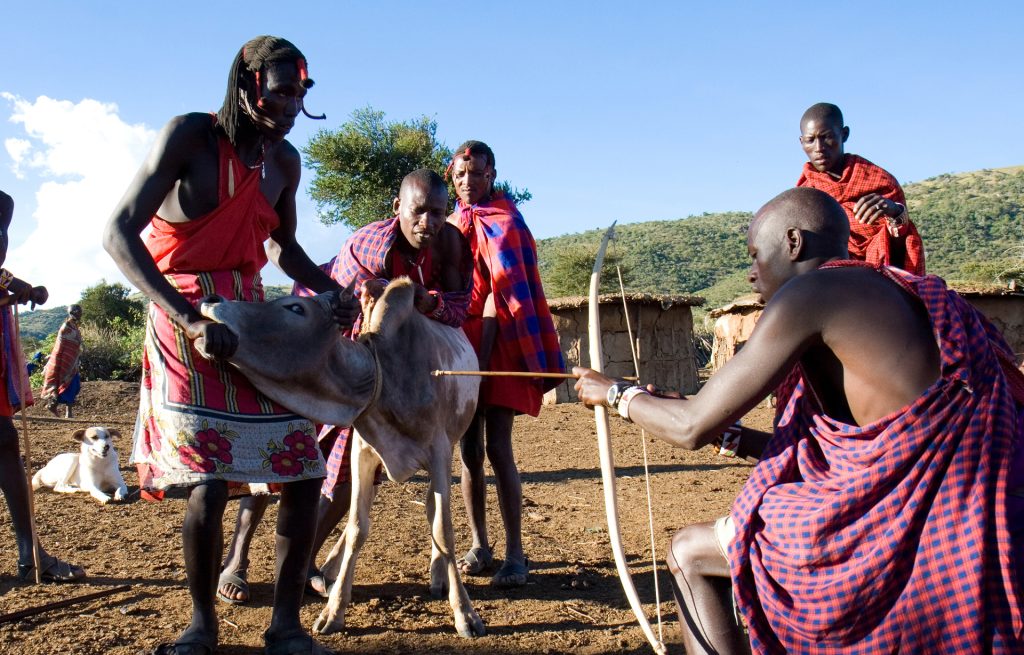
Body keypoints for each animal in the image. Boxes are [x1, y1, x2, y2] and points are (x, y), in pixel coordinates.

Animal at [201, 278, 489, 638]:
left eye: (295, 307)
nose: (212, 300)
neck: (385, 372)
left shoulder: (438, 452)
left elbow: (443, 528)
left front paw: (464, 612)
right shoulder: (362, 453)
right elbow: (356, 529)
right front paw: (334, 609)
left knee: (433, 510)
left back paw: (438, 576)